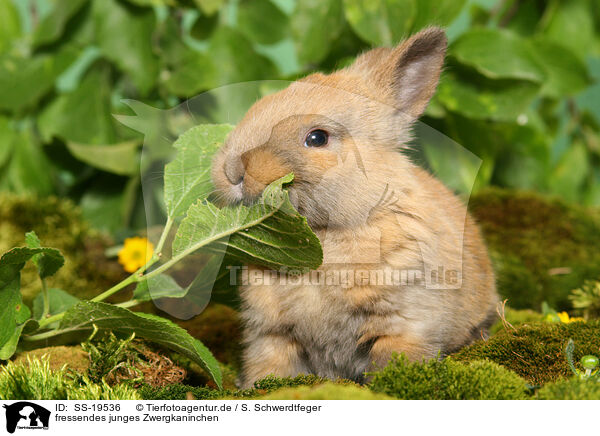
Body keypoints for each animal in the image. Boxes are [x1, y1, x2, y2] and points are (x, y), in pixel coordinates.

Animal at [211, 28, 496, 388]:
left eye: (317, 138)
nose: (232, 170)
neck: (325, 240)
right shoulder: (271, 336)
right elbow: (268, 369)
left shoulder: (405, 326)